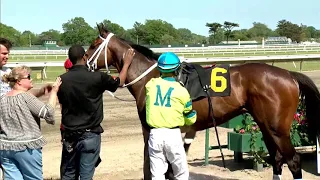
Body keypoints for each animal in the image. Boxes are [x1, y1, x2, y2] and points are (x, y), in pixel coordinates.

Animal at [84, 23, 320, 180]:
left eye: (94, 44)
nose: (83, 61)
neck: (150, 76)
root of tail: (289, 74)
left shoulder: (149, 129)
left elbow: (150, 166)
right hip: (266, 125)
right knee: (277, 159)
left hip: (277, 128)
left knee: (293, 161)